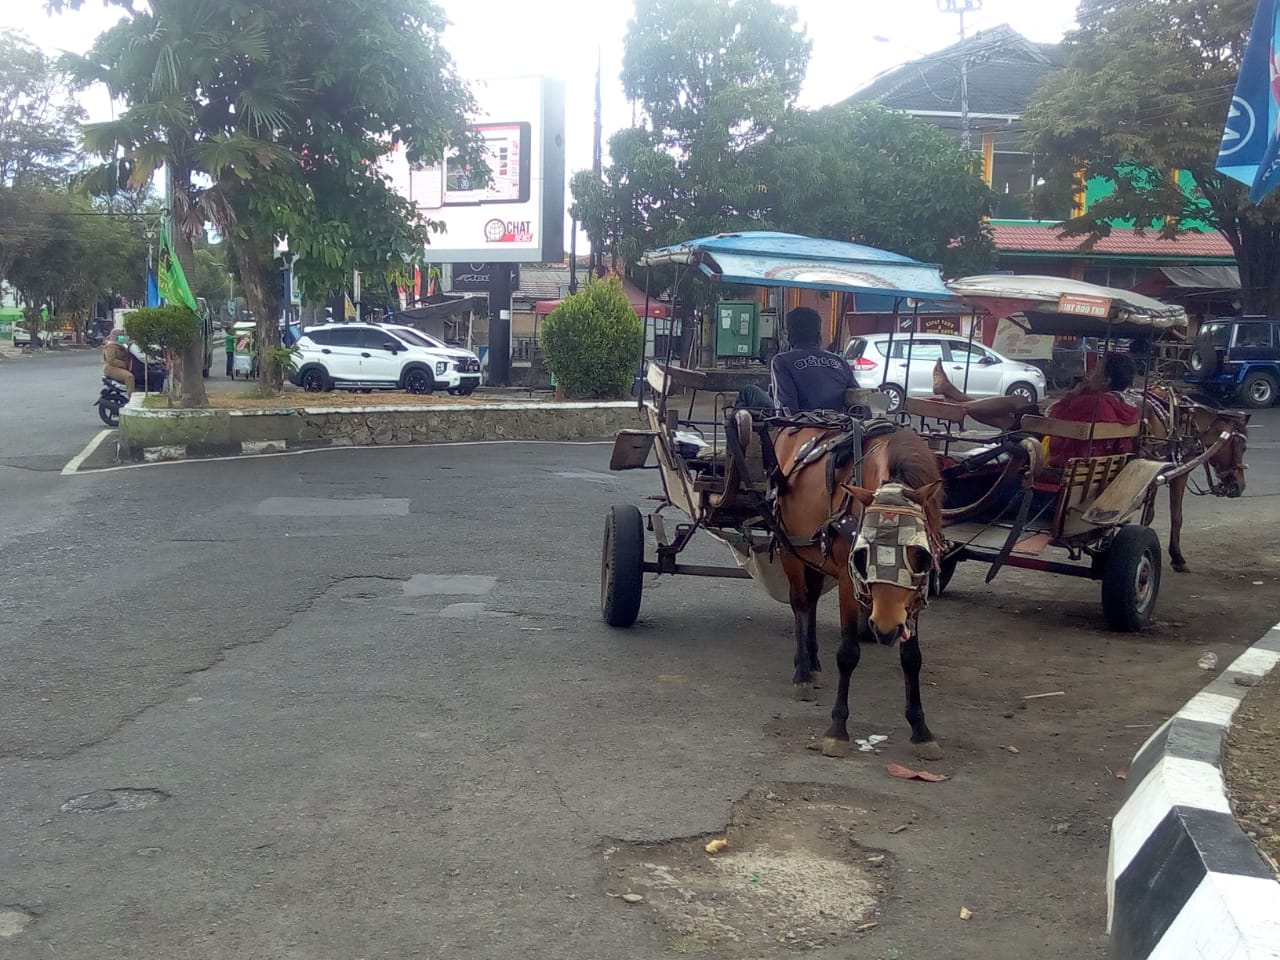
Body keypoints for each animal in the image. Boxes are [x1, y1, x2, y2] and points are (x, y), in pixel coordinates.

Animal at [762, 424, 947, 762]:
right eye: (863, 553)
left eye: (919, 553)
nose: (885, 628)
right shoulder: (849, 581)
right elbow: (848, 654)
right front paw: (837, 729)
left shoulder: (915, 592)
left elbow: (912, 659)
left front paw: (920, 729)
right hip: (790, 550)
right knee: (800, 604)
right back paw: (803, 672)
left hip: (814, 555)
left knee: (810, 601)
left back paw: (813, 663)